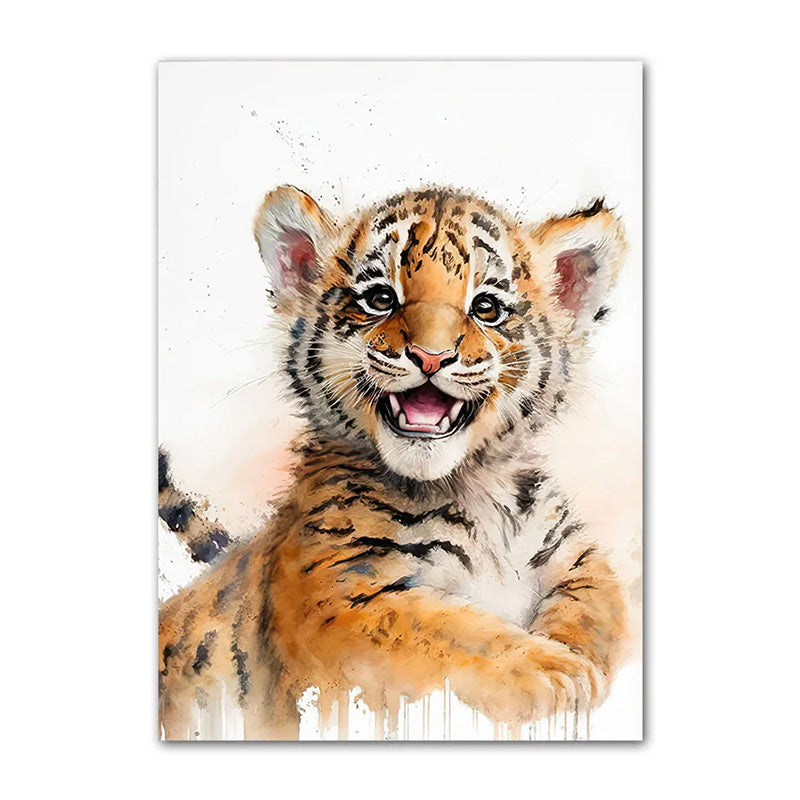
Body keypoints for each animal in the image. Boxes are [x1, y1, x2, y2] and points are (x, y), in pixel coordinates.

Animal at [158, 184, 632, 740]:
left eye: (486, 308)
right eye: (381, 299)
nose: (431, 357)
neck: (477, 491)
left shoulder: (580, 563)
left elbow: (595, 615)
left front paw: (580, 667)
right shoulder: (334, 597)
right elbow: (445, 631)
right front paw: (556, 672)